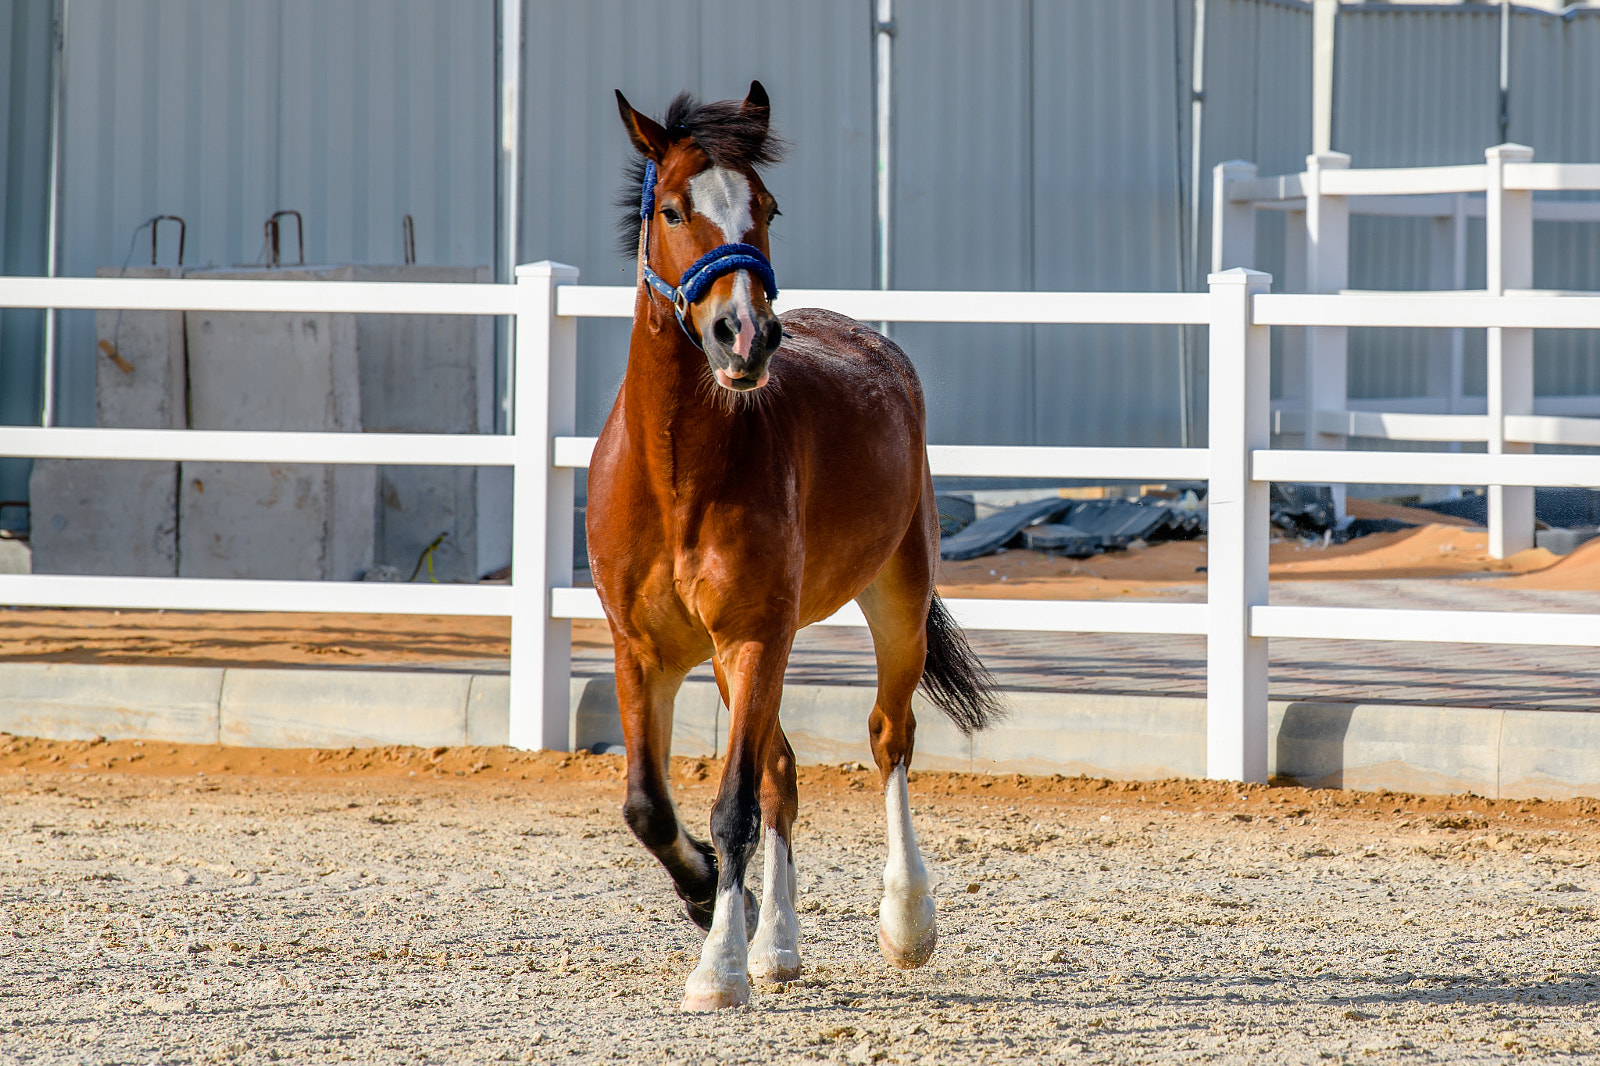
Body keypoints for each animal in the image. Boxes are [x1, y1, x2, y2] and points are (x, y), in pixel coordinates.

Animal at [587, 81, 1000, 1012]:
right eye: (672, 208)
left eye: (768, 208)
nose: (745, 334)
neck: (678, 471)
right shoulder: (645, 650)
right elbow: (649, 805)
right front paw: (714, 901)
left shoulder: (752, 633)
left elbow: (733, 803)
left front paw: (718, 969)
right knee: (782, 770)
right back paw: (775, 943)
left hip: (892, 601)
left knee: (888, 737)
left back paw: (906, 921)